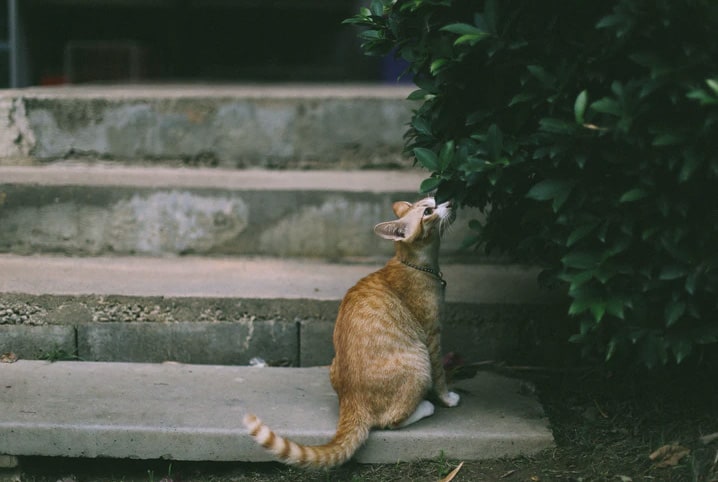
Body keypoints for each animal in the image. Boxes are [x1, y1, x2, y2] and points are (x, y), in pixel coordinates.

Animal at [245, 196, 462, 466]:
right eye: (429, 211)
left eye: (434, 199)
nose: (451, 202)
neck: (417, 264)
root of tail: (352, 401)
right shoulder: (432, 335)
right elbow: (441, 376)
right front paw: (447, 399)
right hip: (419, 363)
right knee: (390, 421)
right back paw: (425, 407)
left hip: (334, 363)